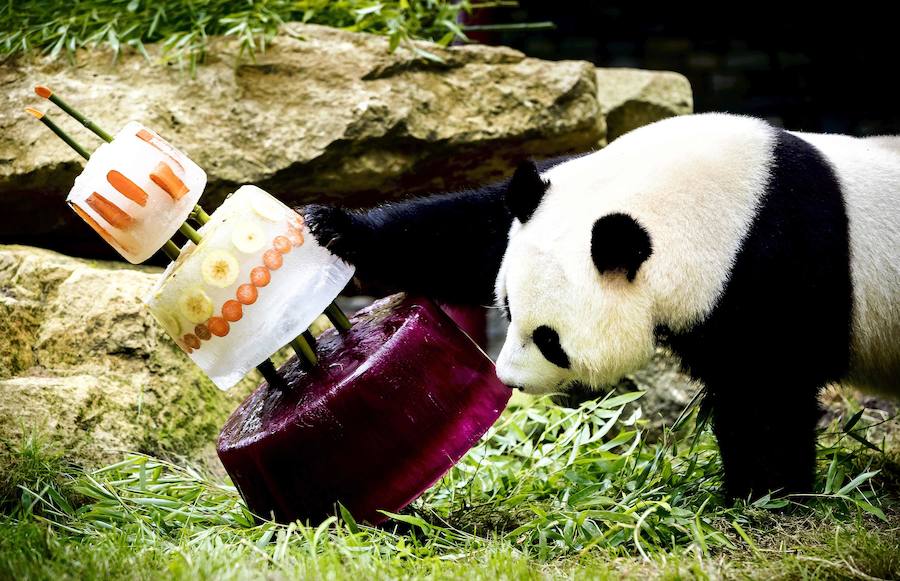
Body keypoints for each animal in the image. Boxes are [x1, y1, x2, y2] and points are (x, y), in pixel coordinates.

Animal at [304, 113, 900, 498]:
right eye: (506, 307)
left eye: (550, 339)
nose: (509, 379)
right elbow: (469, 234)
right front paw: (333, 229)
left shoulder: (776, 265)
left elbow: (766, 389)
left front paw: (760, 495)